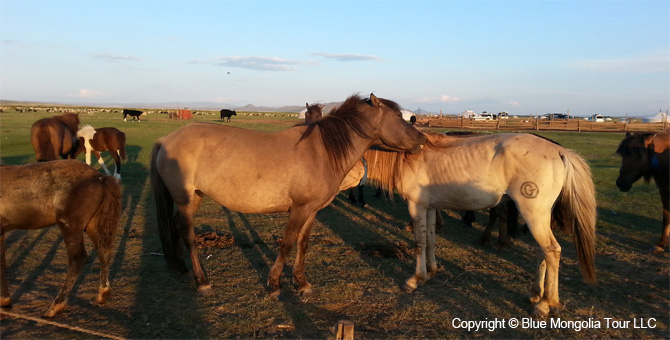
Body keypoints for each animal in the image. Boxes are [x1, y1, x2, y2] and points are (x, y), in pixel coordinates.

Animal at [0, 161, 122, 318]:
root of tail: (99, 177)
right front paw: (5, 301)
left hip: (70, 227)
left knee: (78, 259)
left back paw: (56, 306)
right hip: (92, 225)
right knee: (103, 252)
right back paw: (102, 294)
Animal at [151, 93, 426, 298]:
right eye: (398, 117)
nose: (422, 140)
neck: (322, 151)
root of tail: (167, 139)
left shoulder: (312, 211)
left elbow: (303, 244)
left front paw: (301, 282)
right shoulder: (299, 209)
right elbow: (287, 243)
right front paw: (275, 285)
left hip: (195, 197)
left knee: (176, 228)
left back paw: (182, 270)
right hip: (185, 200)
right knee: (188, 235)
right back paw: (201, 281)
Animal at [356, 132, 600, 316]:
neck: (409, 157)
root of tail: (560, 151)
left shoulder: (417, 206)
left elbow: (419, 243)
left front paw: (415, 279)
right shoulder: (431, 208)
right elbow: (431, 240)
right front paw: (432, 271)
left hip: (533, 214)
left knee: (552, 250)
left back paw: (546, 303)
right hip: (540, 217)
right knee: (544, 252)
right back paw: (535, 293)